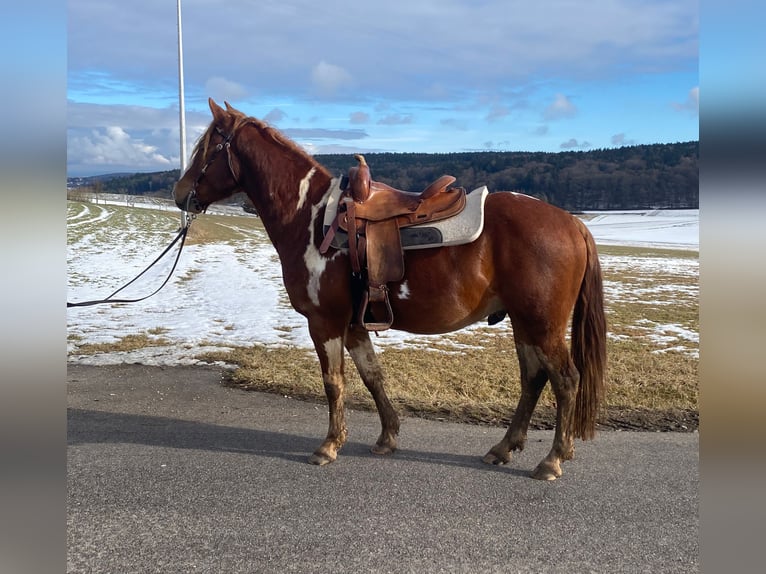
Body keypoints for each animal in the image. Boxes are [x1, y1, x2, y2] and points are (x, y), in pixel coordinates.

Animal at [173, 98, 607, 480]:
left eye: (207, 148)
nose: (180, 194)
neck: (311, 217)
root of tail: (572, 223)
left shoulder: (324, 321)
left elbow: (334, 383)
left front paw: (329, 446)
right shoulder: (354, 324)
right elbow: (372, 376)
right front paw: (387, 437)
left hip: (542, 324)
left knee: (566, 380)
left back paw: (552, 460)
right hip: (524, 323)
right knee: (534, 378)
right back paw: (504, 448)